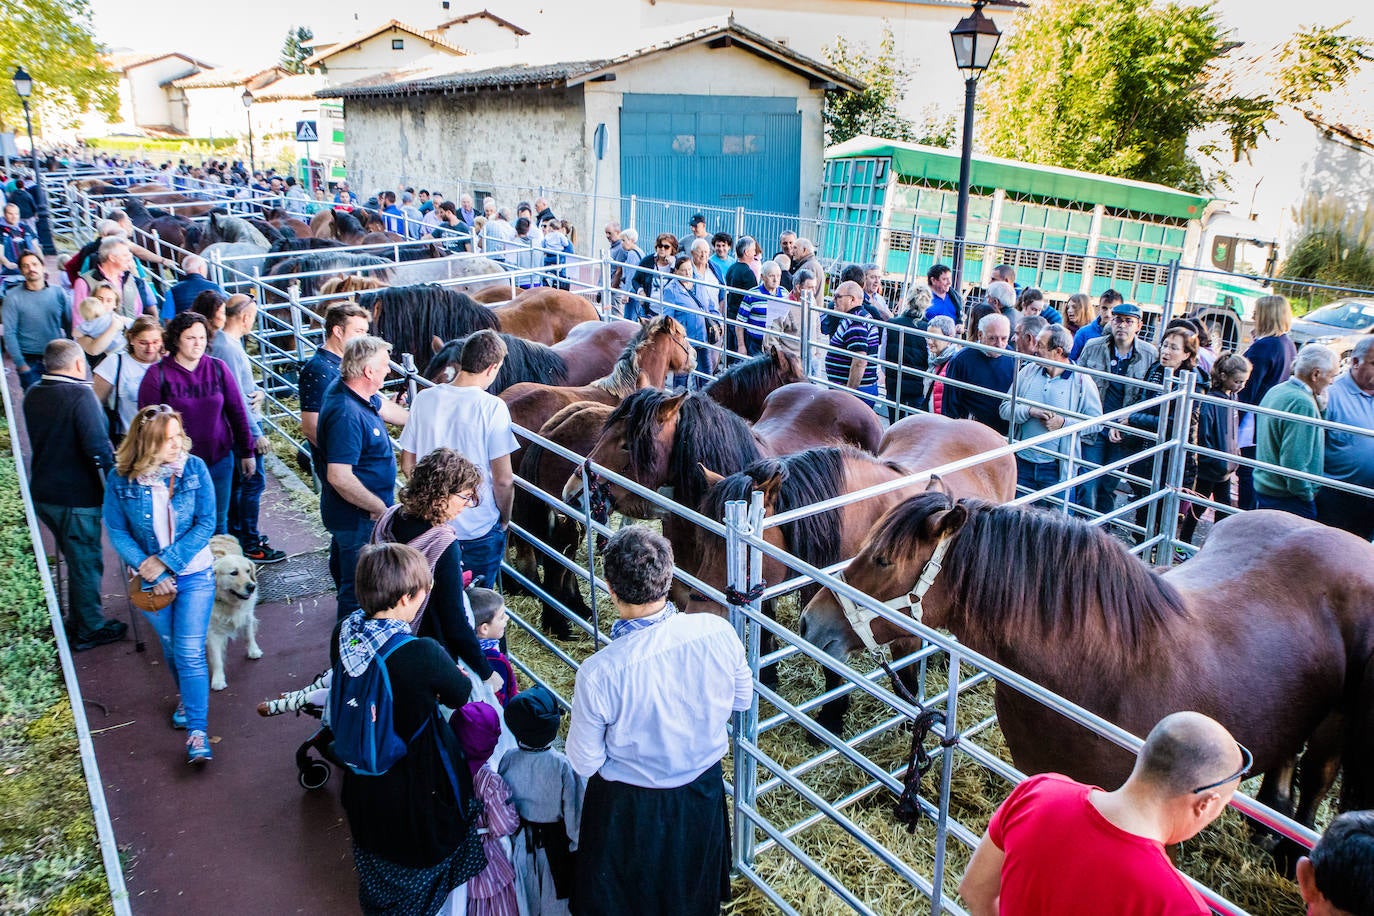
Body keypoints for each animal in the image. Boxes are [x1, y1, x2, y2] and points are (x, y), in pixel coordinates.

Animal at [206, 532, 259, 692]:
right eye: (234, 573)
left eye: (248, 571)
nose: (252, 587)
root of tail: (221, 535)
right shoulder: (212, 630)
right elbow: (217, 658)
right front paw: (218, 679)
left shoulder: (247, 615)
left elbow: (249, 635)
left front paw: (254, 651)